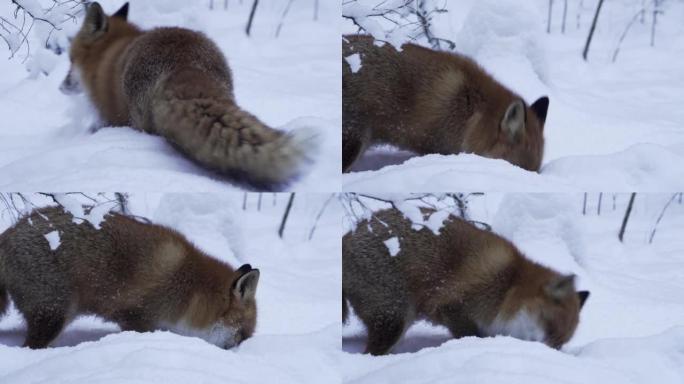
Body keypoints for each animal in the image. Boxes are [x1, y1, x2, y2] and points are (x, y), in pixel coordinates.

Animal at [0, 207, 260, 348]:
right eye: (242, 333)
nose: (238, 351)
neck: (190, 290)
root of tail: (8, 234)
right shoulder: (136, 316)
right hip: (54, 314)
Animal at [60, 2, 320, 189]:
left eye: (70, 60)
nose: (62, 86)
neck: (109, 54)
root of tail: (186, 63)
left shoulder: (112, 117)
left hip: (140, 123)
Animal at [342, 208, 588, 356]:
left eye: (559, 343)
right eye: (549, 328)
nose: (547, 353)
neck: (508, 287)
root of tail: (348, 235)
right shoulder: (454, 305)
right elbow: (471, 334)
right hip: (394, 318)